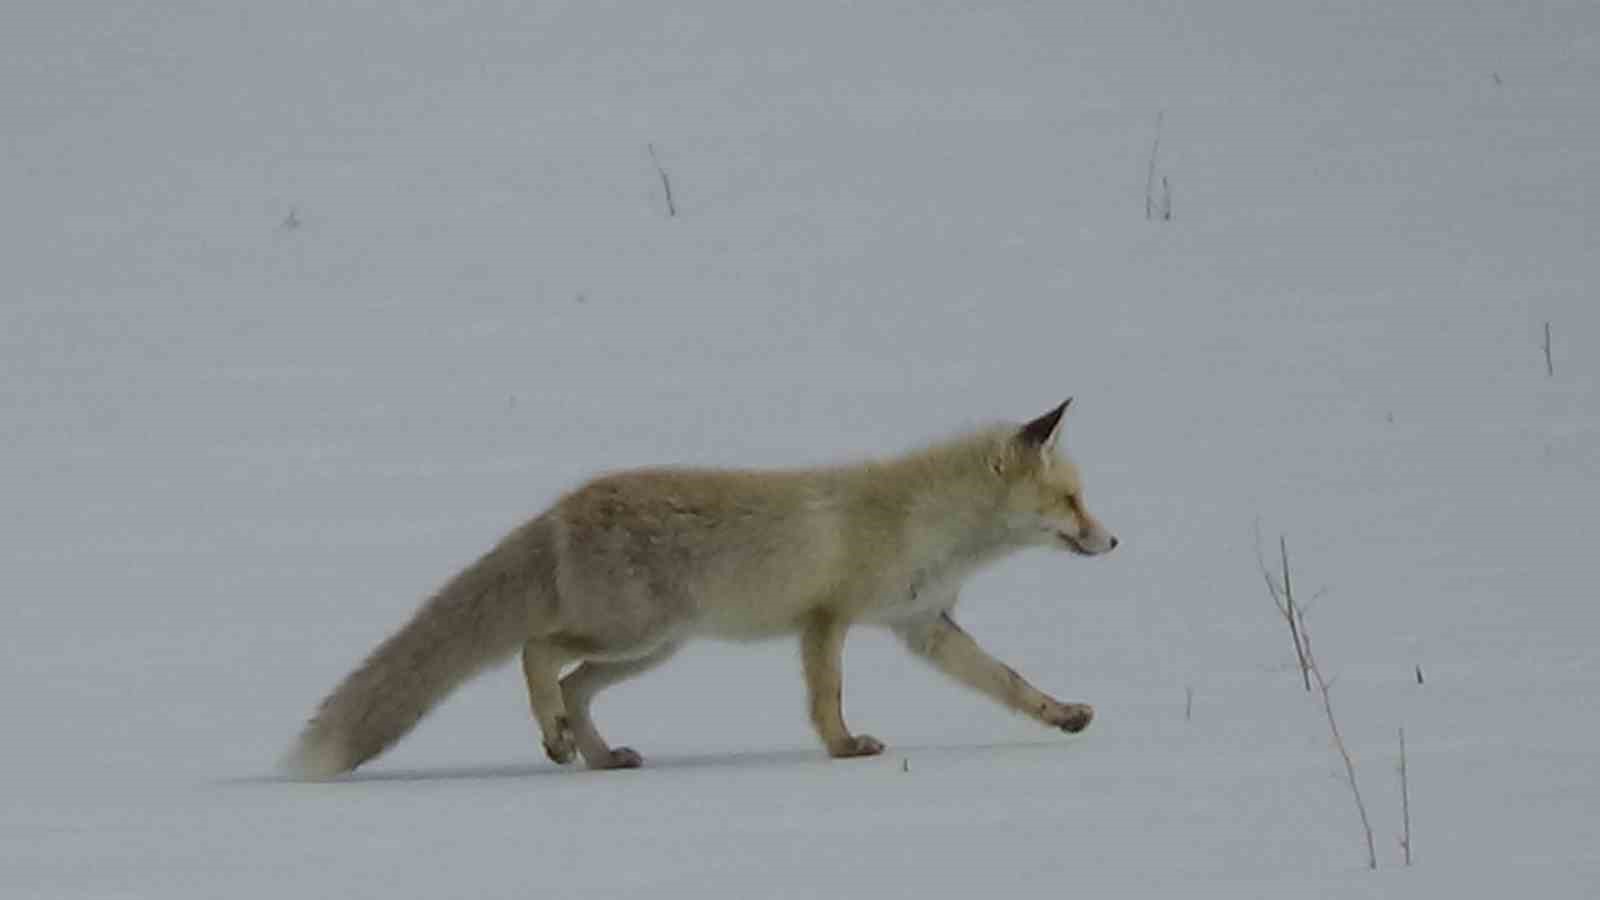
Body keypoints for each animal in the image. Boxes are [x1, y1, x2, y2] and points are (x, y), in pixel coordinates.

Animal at [284, 395, 1113, 775]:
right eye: (1073, 501)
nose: (1112, 541)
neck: (923, 522)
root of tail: (563, 505)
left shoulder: (924, 626)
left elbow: (1009, 682)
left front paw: (1063, 715)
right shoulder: (827, 617)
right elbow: (827, 698)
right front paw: (844, 749)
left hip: (649, 651)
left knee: (574, 683)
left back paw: (598, 757)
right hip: (636, 633)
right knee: (535, 651)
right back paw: (556, 738)